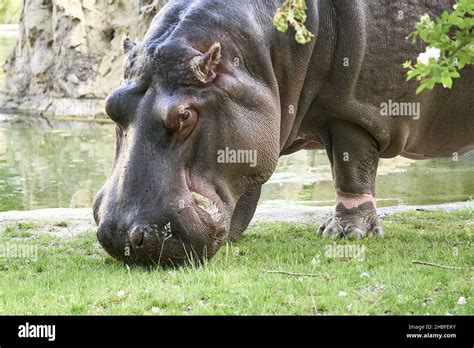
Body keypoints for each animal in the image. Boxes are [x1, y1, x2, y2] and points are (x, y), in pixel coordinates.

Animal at [92, 0, 474, 266]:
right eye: (110, 105)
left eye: (184, 115)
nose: (120, 236)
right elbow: (243, 186)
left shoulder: (355, 111)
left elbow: (351, 169)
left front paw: (343, 234)